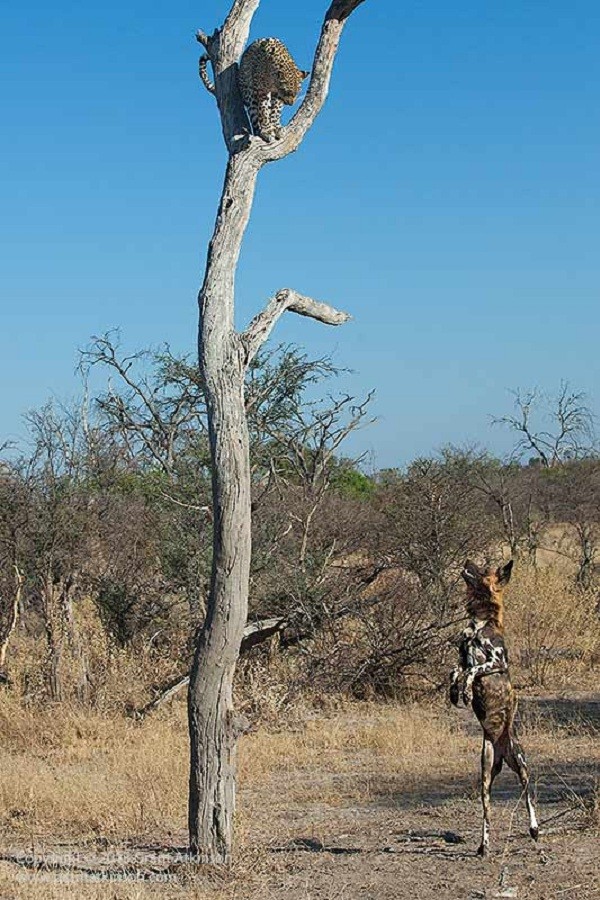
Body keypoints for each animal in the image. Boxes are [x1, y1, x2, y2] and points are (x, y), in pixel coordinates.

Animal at [450, 556, 540, 856]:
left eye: (484, 570)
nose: (467, 559)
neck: (480, 622)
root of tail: (501, 747)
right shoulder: (461, 658)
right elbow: (455, 671)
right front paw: (455, 693)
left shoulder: (495, 662)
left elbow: (472, 670)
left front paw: (466, 692)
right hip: (485, 773)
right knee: (487, 811)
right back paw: (483, 846)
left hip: (521, 763)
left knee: (527, 795)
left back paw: (535, 829)